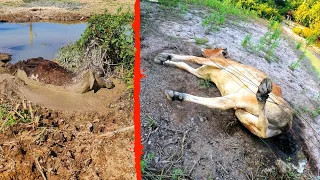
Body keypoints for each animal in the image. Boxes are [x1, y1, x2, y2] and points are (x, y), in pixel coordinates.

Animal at [154, 47, 292, 138]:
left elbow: (192, 57)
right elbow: (184, 65)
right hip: (243, 114)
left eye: (214, 47)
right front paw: (165, 60)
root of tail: (288, 121)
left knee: (220, 103)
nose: (203, 49)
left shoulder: (216, 62)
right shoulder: (201, 74)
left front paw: (166, 55)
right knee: (262, 128)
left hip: (243, 96)